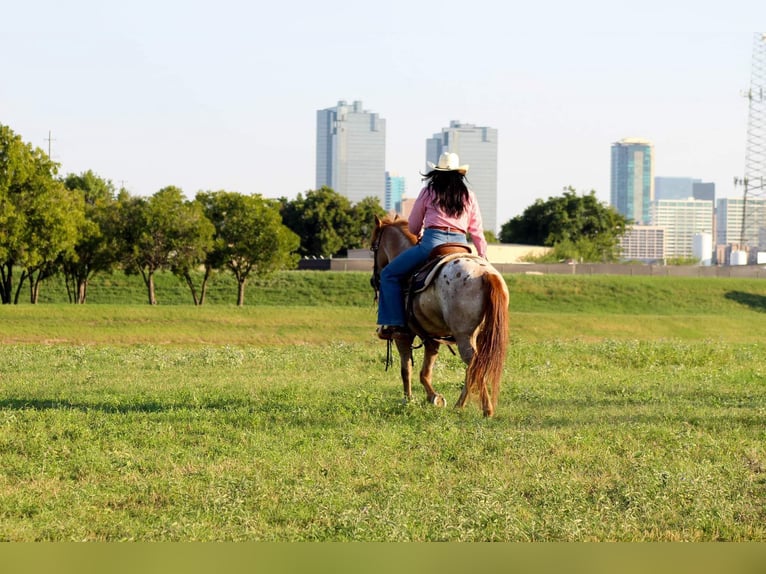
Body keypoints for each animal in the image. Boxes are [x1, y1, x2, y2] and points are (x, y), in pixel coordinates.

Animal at [370, 215, 510, 417]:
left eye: (373, 247)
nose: (374, 280)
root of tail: (485, 273)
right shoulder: (432, 338)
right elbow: (425, 372)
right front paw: (433, 397)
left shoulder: (403, 335)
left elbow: (406, 369)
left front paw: (408, 400)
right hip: (481, 336)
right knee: (474, 367)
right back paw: (460, 405)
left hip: (464, 336)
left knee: (474, 364)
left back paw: (485, 409)